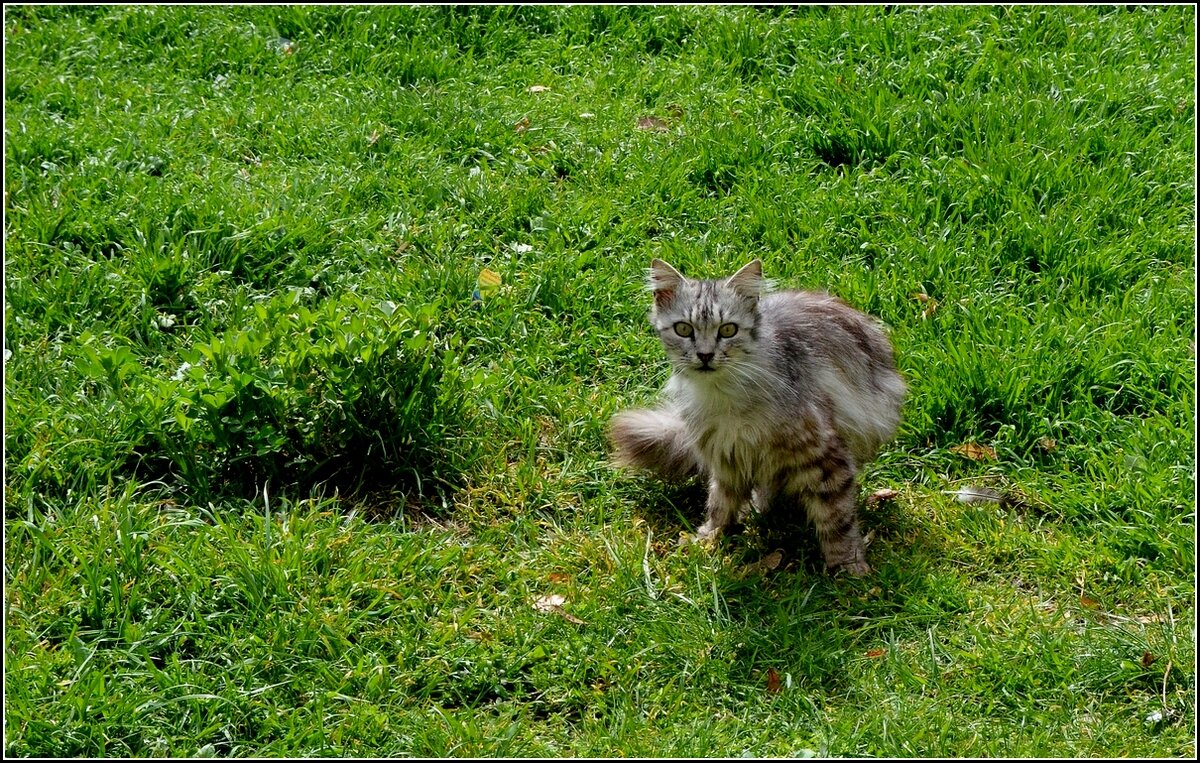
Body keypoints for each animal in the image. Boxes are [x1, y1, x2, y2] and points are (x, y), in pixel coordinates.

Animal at [604, 259, 902, 575]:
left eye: (728, 330)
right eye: (684, 329)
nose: (705, 355)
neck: (723, 398)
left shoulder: (825, 456)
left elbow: (837, 519)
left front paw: (849, 568)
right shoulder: (725, 455)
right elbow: (720, 504)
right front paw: (708, 540)